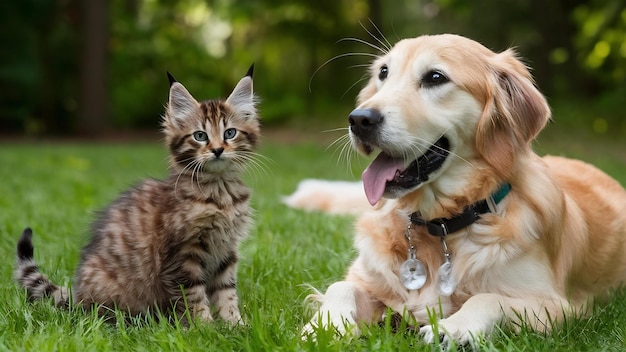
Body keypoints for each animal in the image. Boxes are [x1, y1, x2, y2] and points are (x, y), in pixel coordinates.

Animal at [14, 66, 260, 324]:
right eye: (200, 136)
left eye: (230, 133)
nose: (218, 150)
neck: (220, 194)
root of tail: (78, 294)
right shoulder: (182, 254)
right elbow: (193, 295)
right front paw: (204, 326)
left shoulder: (227, 250)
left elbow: (226, 291)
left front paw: (235, 325)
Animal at [286, 34, 624, 346]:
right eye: (383, 73)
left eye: (435, 77)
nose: (359, 119)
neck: (439, 222)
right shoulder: (368, 278)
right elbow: (340, 287)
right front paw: (326, 326)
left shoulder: (558, 306)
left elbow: (488, 297)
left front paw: (453, 328)